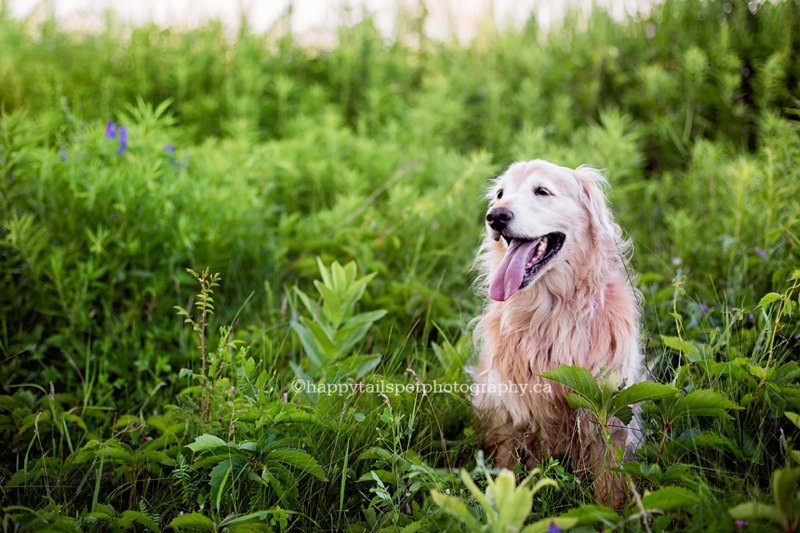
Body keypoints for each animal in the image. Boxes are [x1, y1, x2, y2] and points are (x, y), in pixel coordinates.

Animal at [468, 160, 644, 510]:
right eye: (500, 193)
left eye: (542, 191)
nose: (495, 216)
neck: (551, 312)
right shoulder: (510, 413)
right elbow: (506, 467)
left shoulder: (610, 416)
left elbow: (609, 483)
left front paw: (608, 515)